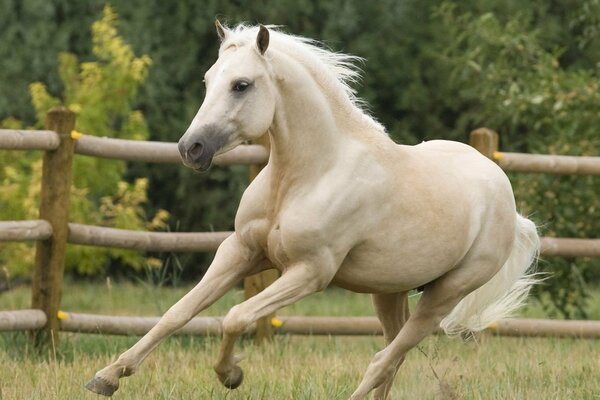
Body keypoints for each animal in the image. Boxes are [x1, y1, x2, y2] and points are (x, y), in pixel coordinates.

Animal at [86, 22, 540, 400]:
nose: (191, 148)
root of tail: (508, 201)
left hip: (445, 295)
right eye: (208, 80)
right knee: (393, 356)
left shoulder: (309, 272)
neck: (306, 176)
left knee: (384, 359)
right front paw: (107, 377)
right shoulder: (240, 252)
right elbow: (177, 313)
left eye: (241, 85)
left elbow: (235, 316)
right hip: (389, 290)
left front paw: (231, 375)